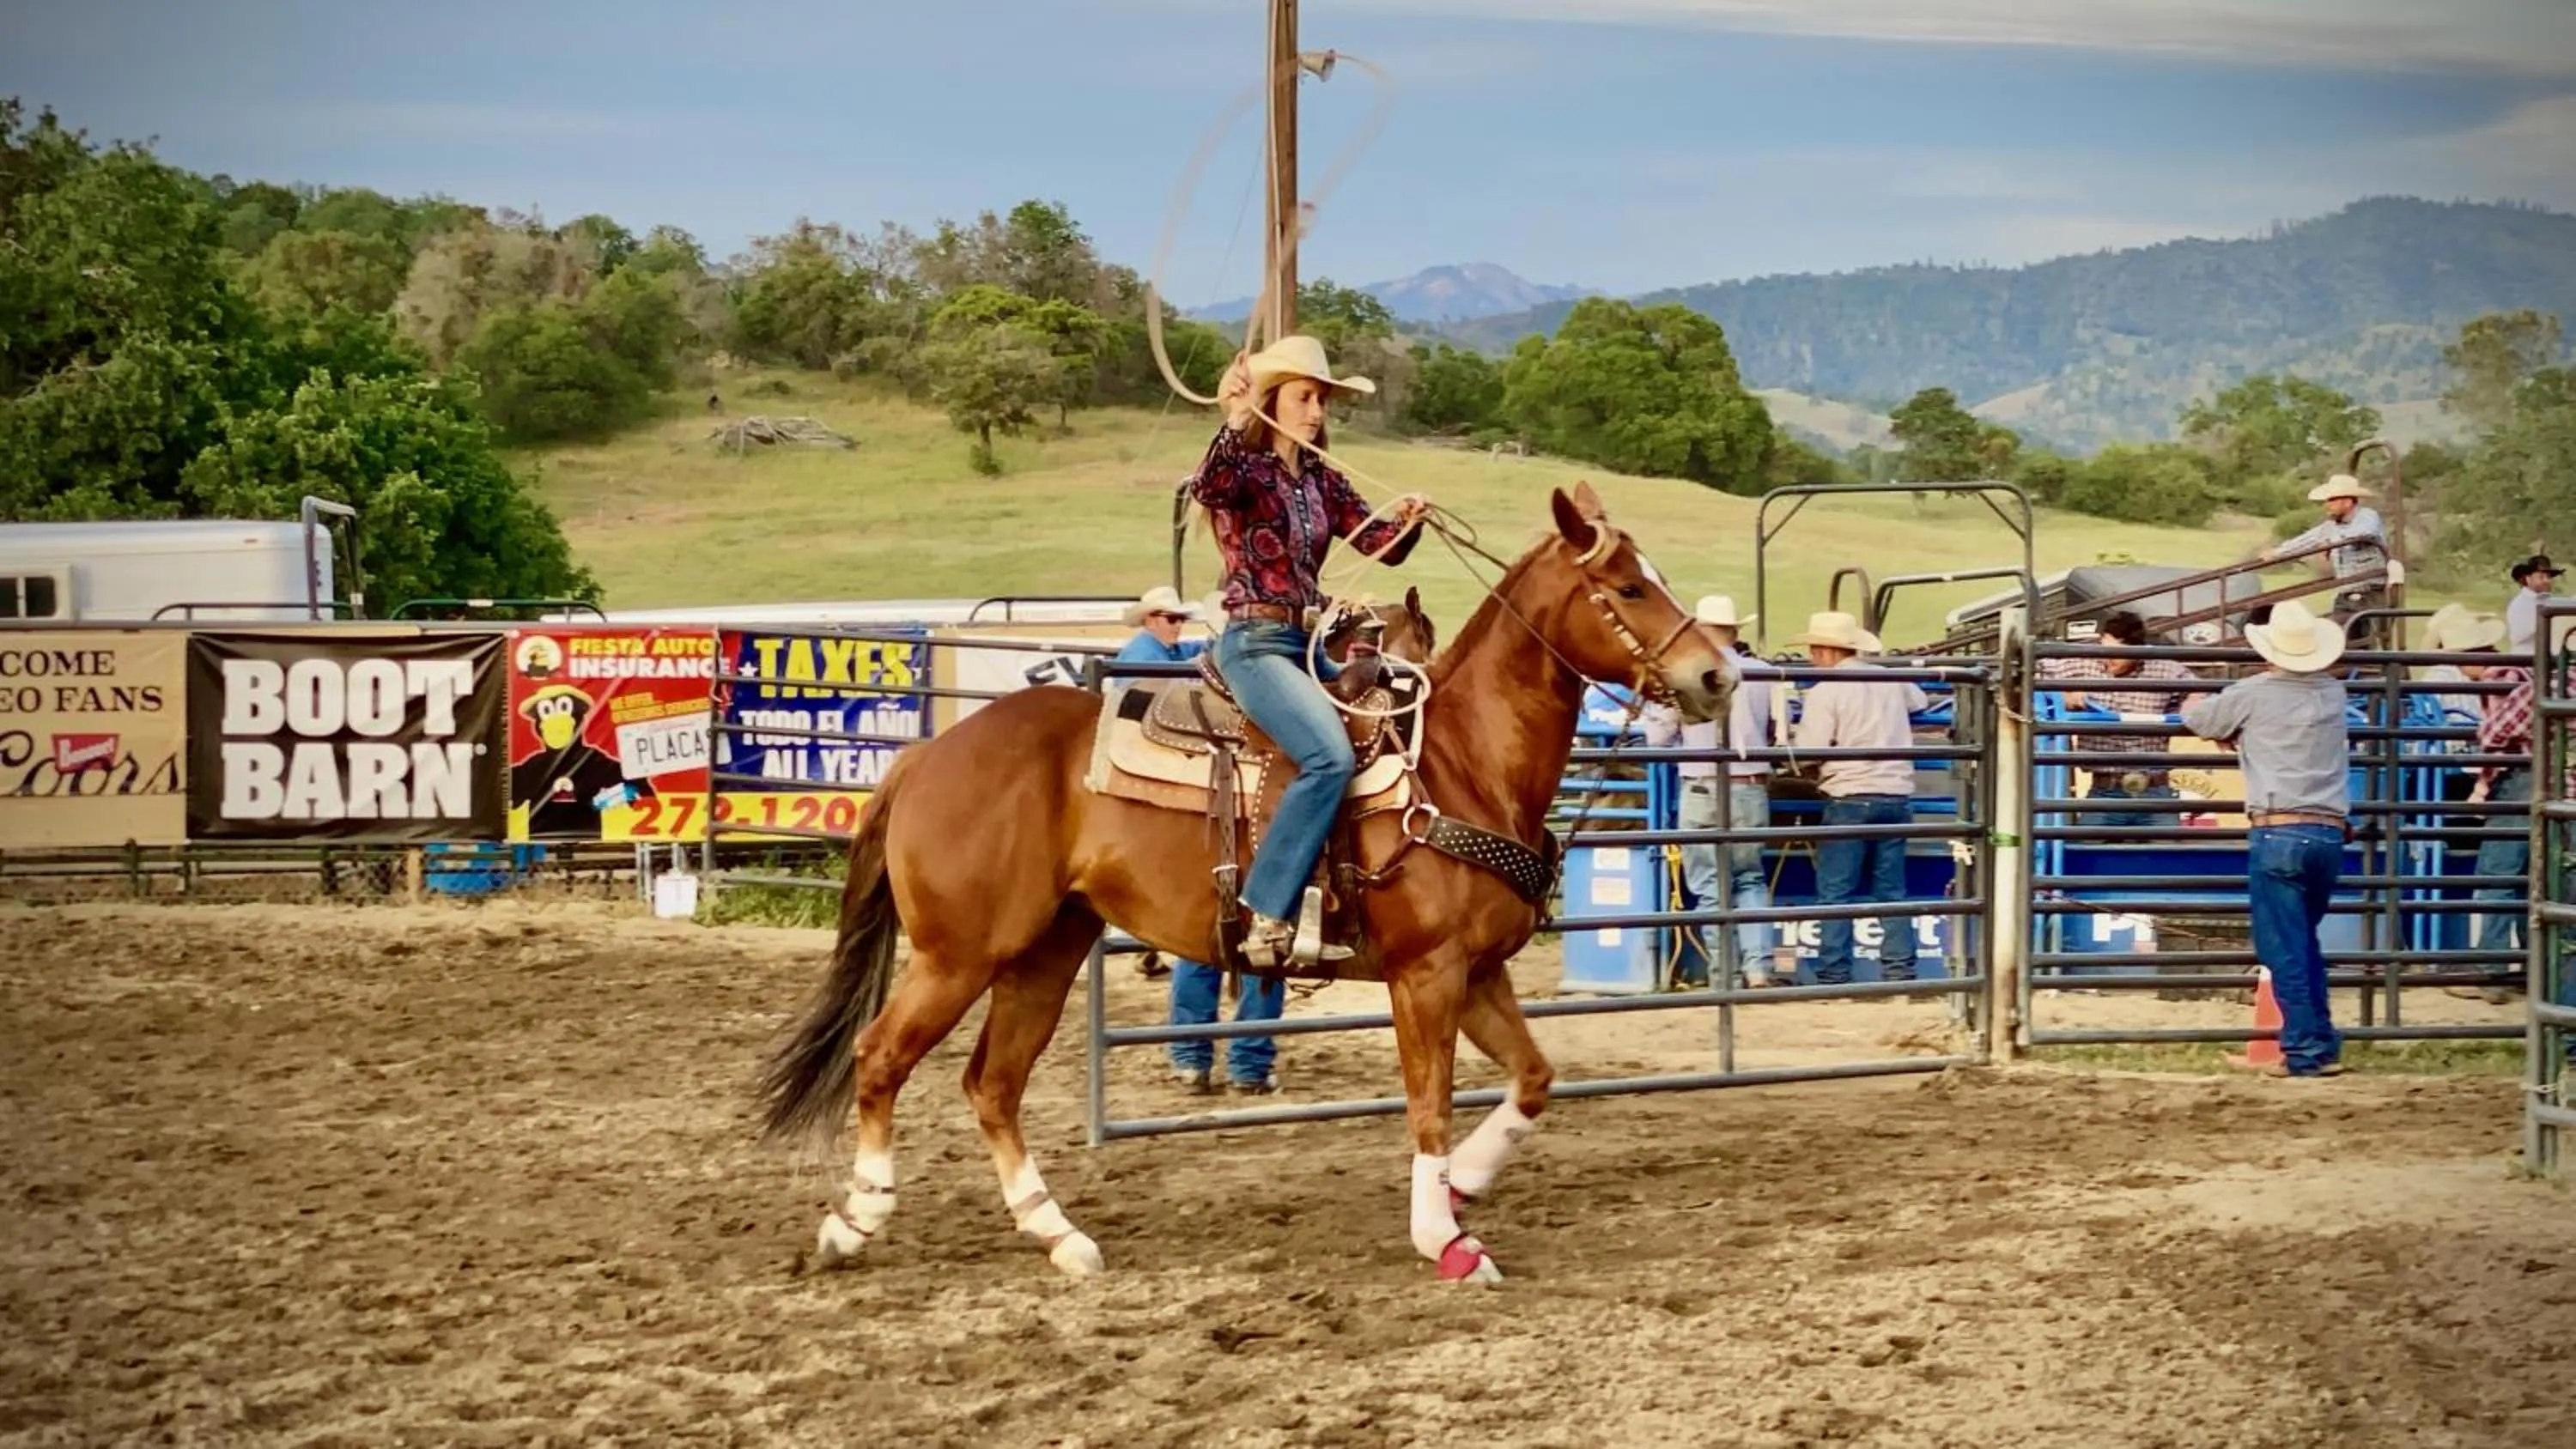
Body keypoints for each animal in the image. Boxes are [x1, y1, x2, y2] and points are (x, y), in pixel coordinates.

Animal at [755, 482, 1732, 1283]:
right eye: (1631, 588)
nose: (1717, 673)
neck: (1459, 764)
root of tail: (923, 756)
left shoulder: (1479, 970)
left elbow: (1533, 1078)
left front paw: (1462, 1188)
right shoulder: (1425, 975)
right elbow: (1428, 1104)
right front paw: (1445, 1238)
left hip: (1046, 949)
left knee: (993, 1084)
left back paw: (1059, 1235)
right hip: (959, 953)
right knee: (882, 1055)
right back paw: (856, 1220)